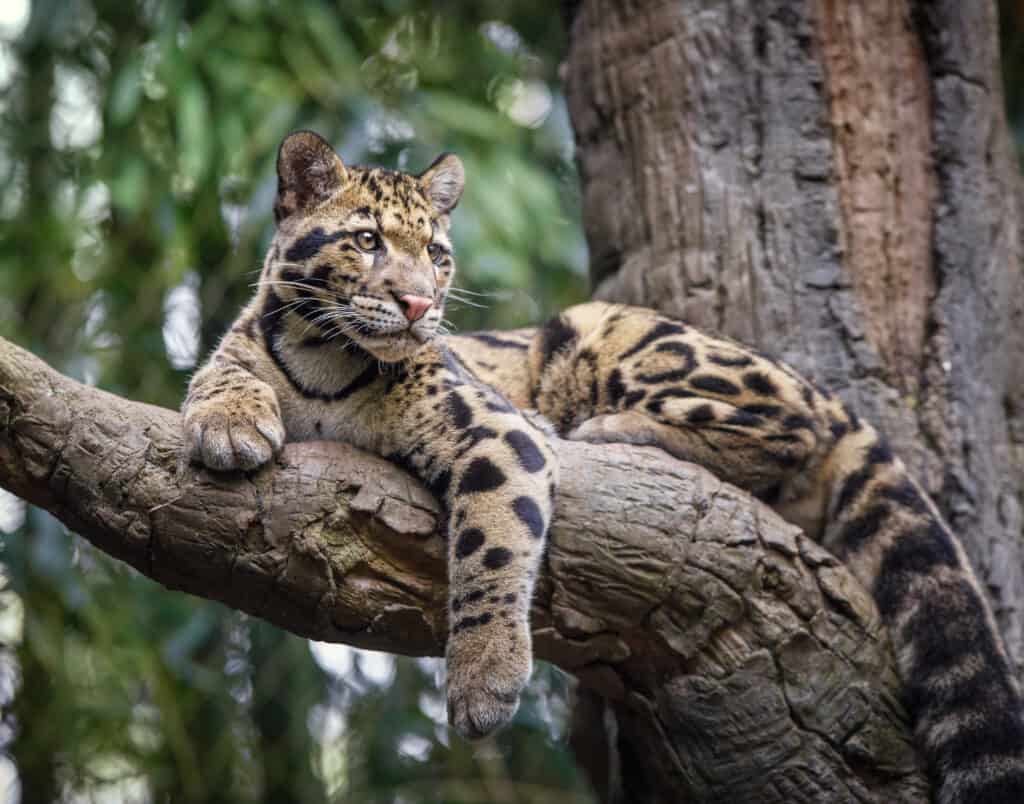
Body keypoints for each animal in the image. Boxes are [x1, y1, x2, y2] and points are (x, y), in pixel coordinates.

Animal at [184, 133, 1024, 802]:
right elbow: (218, 373)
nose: (421, 305)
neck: (326, 356)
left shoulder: (496, 430)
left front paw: (484, 679)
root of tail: (821, 386)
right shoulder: (246, 346)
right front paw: (229, 423)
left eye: (438, 256)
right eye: (365, 241)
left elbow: (492, 549)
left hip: (612, 333)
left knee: (790, 427)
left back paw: (608, 428)